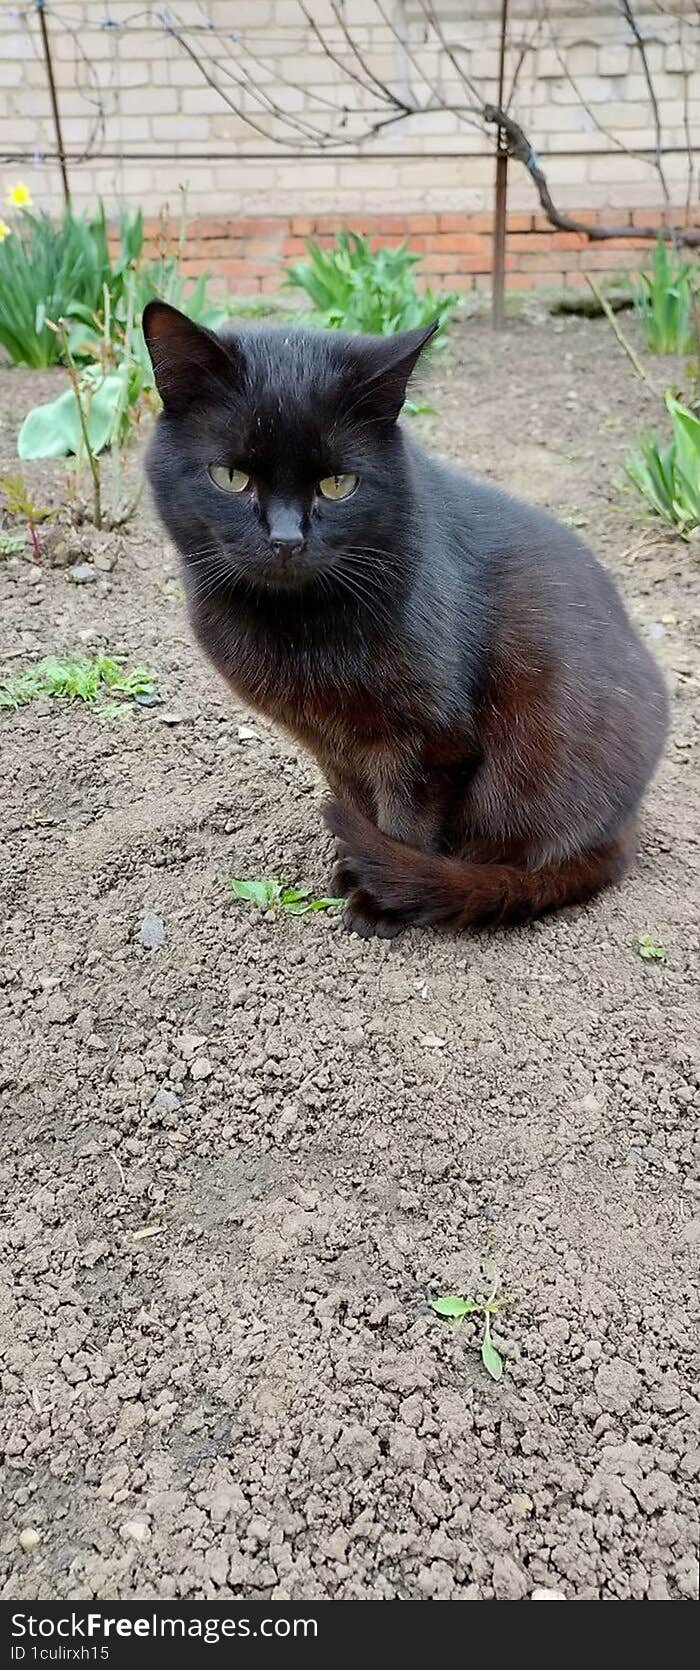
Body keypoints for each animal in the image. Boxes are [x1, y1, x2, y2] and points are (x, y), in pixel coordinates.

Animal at [142, 300, 668, 941]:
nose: (287, 539)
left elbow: (403, 822)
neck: (300, 627)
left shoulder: (427, 739)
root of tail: (623, 831)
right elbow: (358, 804)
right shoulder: (332, 741)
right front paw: (354, 867)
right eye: (230, 478)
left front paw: (379, 898)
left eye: (338, 484)